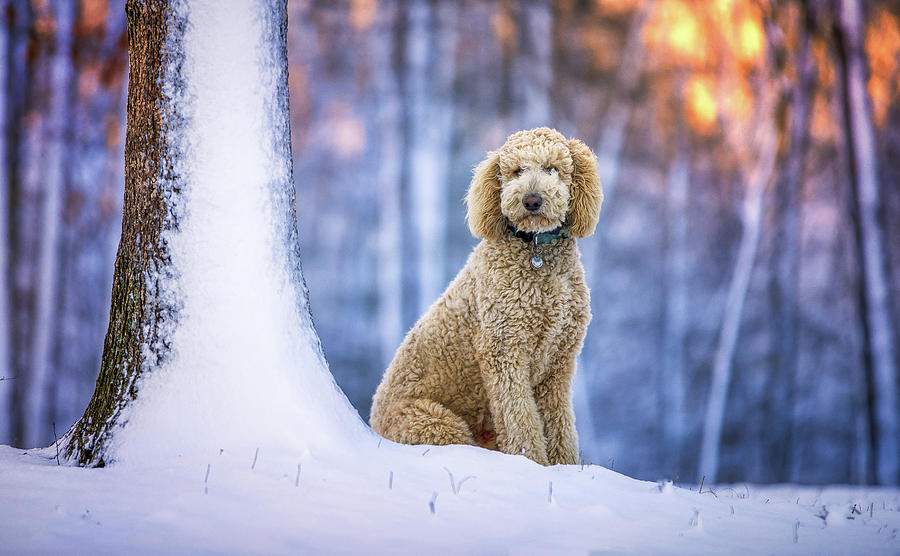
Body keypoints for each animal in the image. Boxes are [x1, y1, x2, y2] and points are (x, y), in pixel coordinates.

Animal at [370, 127, 600, 464]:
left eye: (552, 168)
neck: (537, 252)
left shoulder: (559, 362)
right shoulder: (504, 352)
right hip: (436, 422)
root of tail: (372, 424)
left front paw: (563, 466)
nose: (532, 200)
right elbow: (521, 422)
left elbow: (560, 424)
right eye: (516, 171)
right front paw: (531, 464)